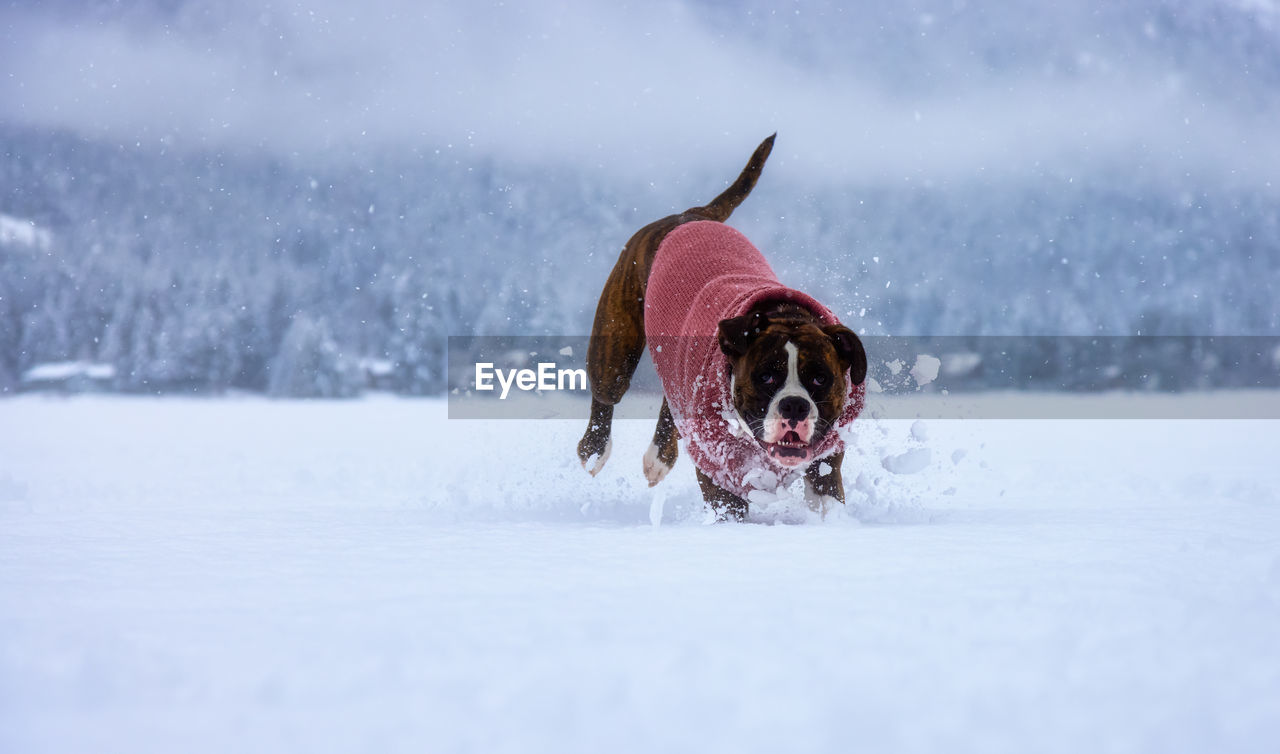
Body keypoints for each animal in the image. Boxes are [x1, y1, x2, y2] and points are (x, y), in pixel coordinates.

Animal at [581, 135, 870, 519]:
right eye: (766, 376)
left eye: (821, 378)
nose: (794, 405)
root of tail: (693, 214)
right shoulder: (718, 473)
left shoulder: (824, 465)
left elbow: (826, 500)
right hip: (615, 345)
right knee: (606, 394)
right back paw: (594, 452)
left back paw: (659, 456)